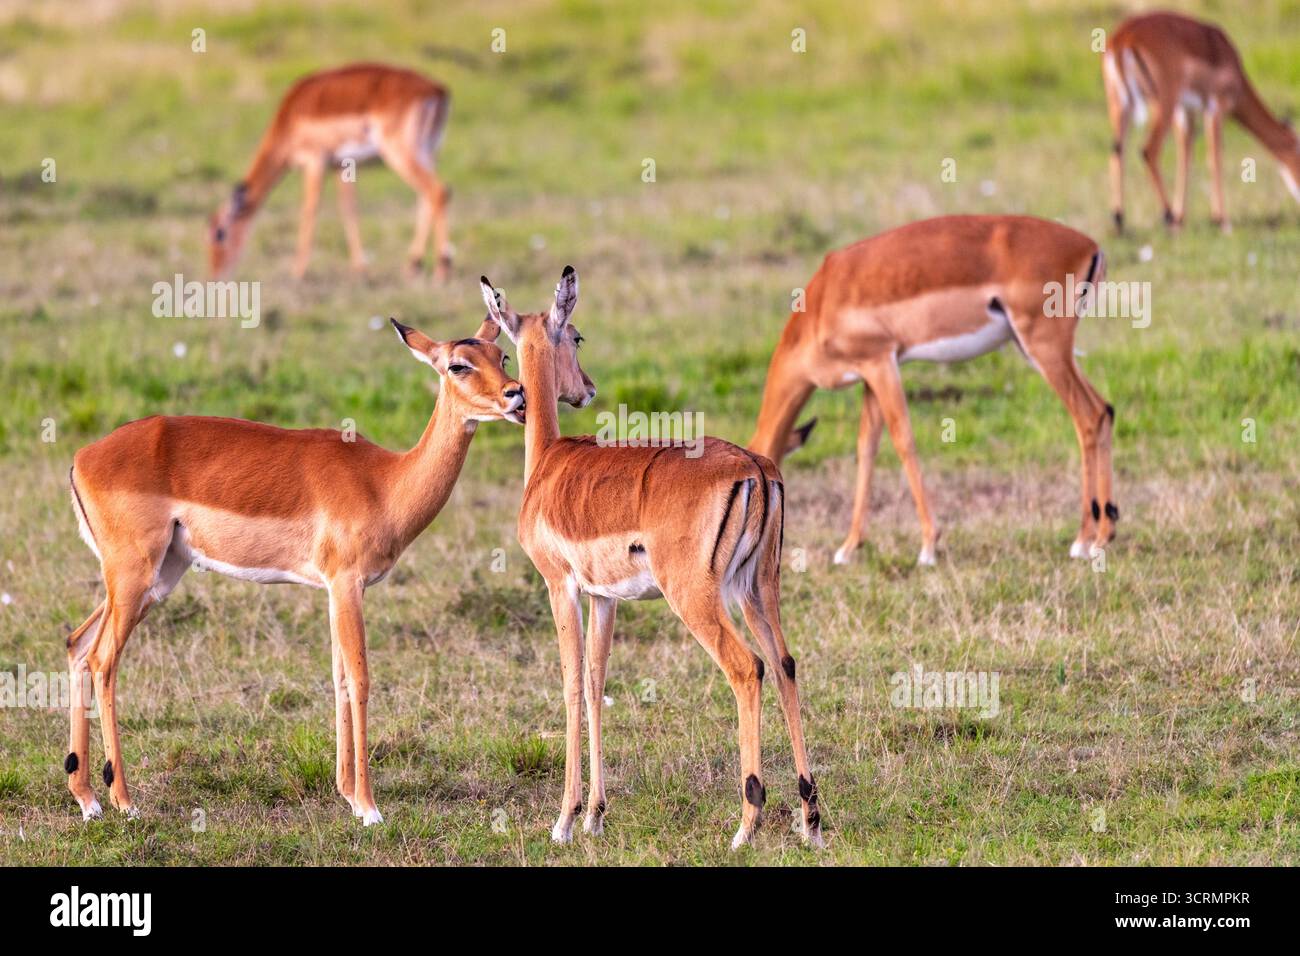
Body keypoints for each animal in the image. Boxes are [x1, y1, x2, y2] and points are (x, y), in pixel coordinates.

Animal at [63, 309, 523, 824]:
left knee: (78, 645)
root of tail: (82, 458)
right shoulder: (347, 584)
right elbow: (360, 679)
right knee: (103, 659)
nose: (516, 394)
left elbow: (339, 677)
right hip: (133, 576)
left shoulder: (335, 590)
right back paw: (124, 800)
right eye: (458, 365)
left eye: (502, 355)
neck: (384, 482)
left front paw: (347, 794)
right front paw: (369, 808)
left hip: (154, 580)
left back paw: (87, 799)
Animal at [209, 63, 453, 280]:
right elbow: (349, 209)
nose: (215, 275)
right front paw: (359, 268)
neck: (288, 118)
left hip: (400, 153)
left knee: (438, 191)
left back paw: (442, 270)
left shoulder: (314, 161)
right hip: (428, 153)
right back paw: (413, 267)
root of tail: (437, 90)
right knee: (427, 198)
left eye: (220, 233)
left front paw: (297, 272)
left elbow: (309, 210)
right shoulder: (339, 167)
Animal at [483, 267, 822, 850]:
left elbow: (571, 684)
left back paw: (745, 824)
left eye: (576, 336)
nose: (587, 388)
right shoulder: (604, 598)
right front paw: (595, 815)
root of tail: (755, 466)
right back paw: (810, 821)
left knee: (747, 668)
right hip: (757, 590)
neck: (548, 462)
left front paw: (565, 820)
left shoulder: (560, 586)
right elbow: (596, 682)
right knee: (783, 664)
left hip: (695, 597)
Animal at [748, 215, 1116, 566]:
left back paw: (1084, 541)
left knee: (1088, 416)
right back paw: (1104, 533)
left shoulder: (881, 362)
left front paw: (928, 546)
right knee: (1105, 410)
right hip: (1048, 352)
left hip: (1044, 347)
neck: (822, 301)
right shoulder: (872, 374)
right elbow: (866, 447)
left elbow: (903, 440)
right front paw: (849, 548)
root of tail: (1091, 246)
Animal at [1104, 11, 1300, 232]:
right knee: (1148, 151)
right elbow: (1214, 158)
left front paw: (1182, 218)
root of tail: (1123, 38)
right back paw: (1167, 216)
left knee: (1117, 152)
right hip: (1163, 104)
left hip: (1120, 106)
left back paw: (1120, 221)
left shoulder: (1185, 112)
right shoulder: (1215, 108)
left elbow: (1185, 158)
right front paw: (1221, 220)